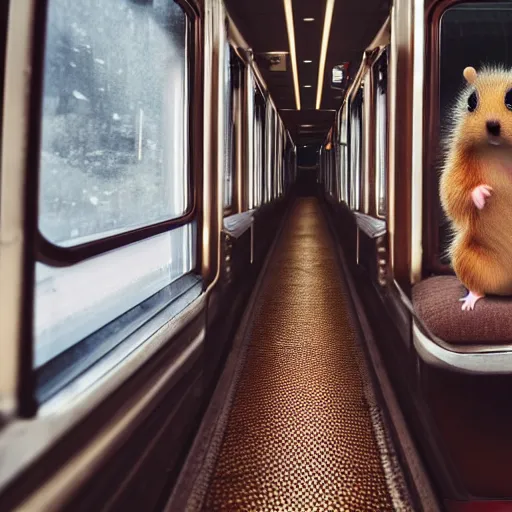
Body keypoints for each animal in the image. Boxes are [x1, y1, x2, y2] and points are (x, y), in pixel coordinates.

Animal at [438, 65, 512, 310]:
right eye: (471, 101)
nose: (492, 125)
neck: (500, 150)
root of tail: (507, 289)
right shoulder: (457, 165)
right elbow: (452, 190)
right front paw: (484, 193)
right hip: (465, 256)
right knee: (478, 286)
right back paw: (470, 301)